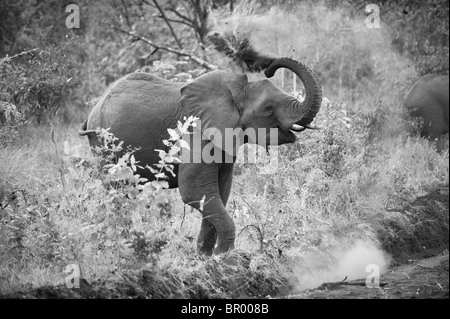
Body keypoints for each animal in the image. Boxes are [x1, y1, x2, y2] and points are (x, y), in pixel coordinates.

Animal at [79, 57, 322, 256]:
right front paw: (224, 257)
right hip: (104, 146)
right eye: (269, 108)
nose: (270, 68)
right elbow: (194, 190)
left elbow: (219, 192)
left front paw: (205, 257)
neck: (235, 91)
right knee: (119, 192)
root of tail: (92, 112)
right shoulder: (196, 131)